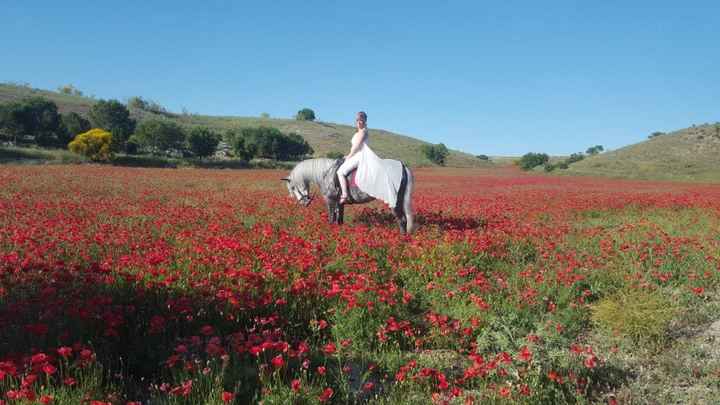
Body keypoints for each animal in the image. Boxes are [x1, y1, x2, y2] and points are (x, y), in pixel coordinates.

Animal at [282, 158, 416, 234]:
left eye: (292, 187)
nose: (304, 203)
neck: (326, 173)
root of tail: (402, 166)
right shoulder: (340, 203)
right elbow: (339, 220)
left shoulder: (330, 200)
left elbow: (331, 219)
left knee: (402, 220)